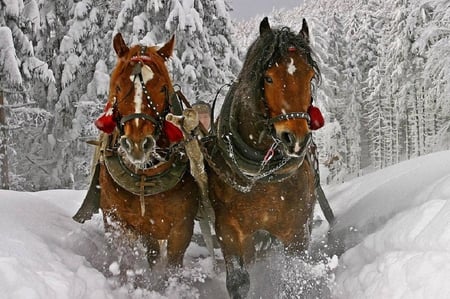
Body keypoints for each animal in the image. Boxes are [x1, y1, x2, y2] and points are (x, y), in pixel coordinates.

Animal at [85, 32, 199, 274]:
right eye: (118, 87)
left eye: (163, 88)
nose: (138, 144)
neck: (144, 177)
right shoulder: (118, 222)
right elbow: (126, 263)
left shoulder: (182, 227)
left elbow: (172, 267)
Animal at [204, 17, 324, 298]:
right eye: (268, 78)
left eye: (310, 76)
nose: (295, 138)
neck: (262, 173)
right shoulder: (229, 230)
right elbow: (238, 282)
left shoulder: (296, 231)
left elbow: (294, 278)